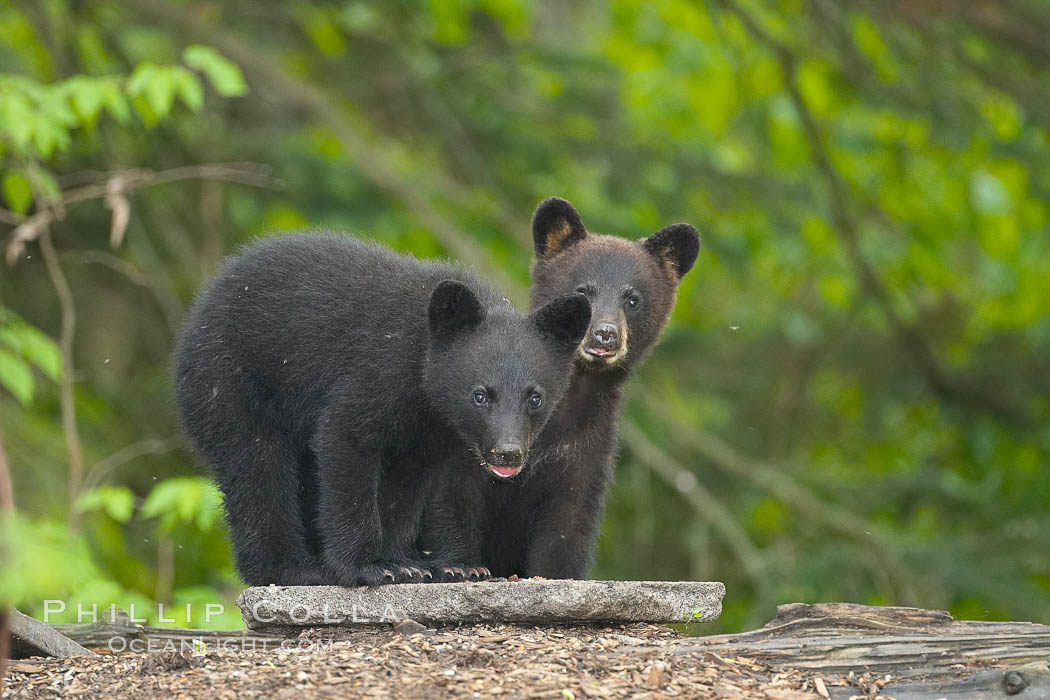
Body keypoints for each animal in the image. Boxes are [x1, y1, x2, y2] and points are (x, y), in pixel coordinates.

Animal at [174, 232, 591, 587]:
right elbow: (346, 442)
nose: (507, 453)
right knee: (258, 467)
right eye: (480, 395)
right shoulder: (377, 372)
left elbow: (406, 486)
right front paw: (369, 567)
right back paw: (292, 570)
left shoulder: (430, 433)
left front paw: (409, 563)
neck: (424, 375)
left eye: (535, 397)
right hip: (231, 382)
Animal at [423, 198, 699, 579]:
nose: (604, 334)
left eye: (632, 299)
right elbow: (454, 497)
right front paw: (463, 567)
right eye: (583, 290)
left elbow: (568, 522)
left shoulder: (587, 445)